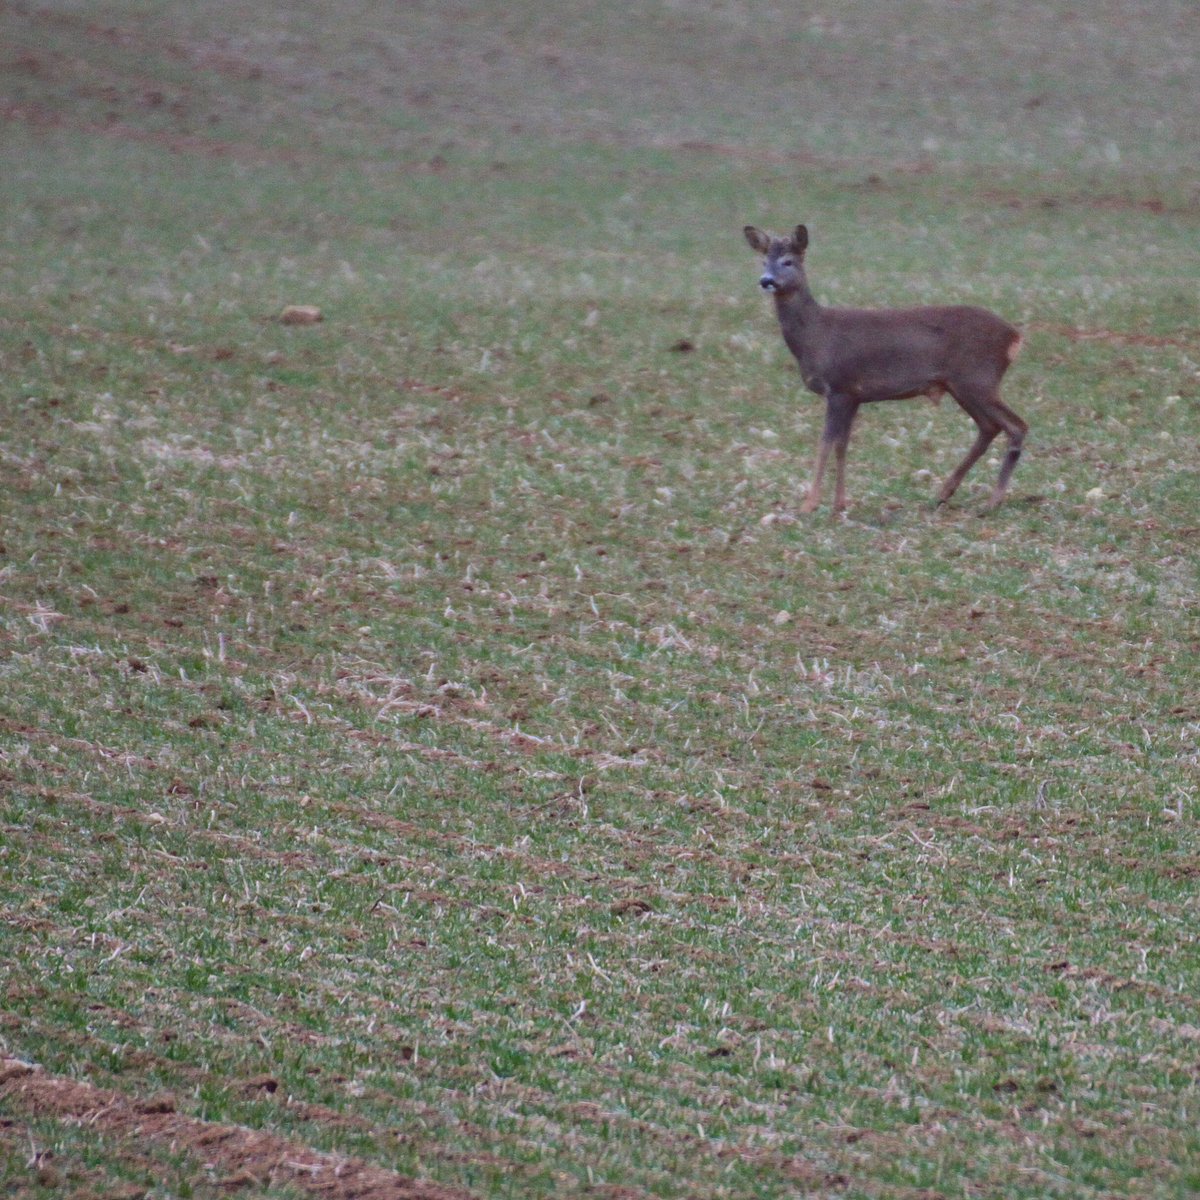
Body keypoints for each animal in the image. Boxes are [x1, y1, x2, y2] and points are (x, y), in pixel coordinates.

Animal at [743, 223, 1027, 513]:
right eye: (763, 261)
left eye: (788, 261)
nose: (766, 280)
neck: (816, 335)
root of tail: (1014, 336)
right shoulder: (853, 395)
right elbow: (842, 445)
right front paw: (839, 503)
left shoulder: (839, 386)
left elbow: (825, 444)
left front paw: (809, 504)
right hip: (962, 385)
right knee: (989, 427)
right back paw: (944, 493)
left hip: (978, 378)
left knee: (1017, 426)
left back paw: (993, 500)